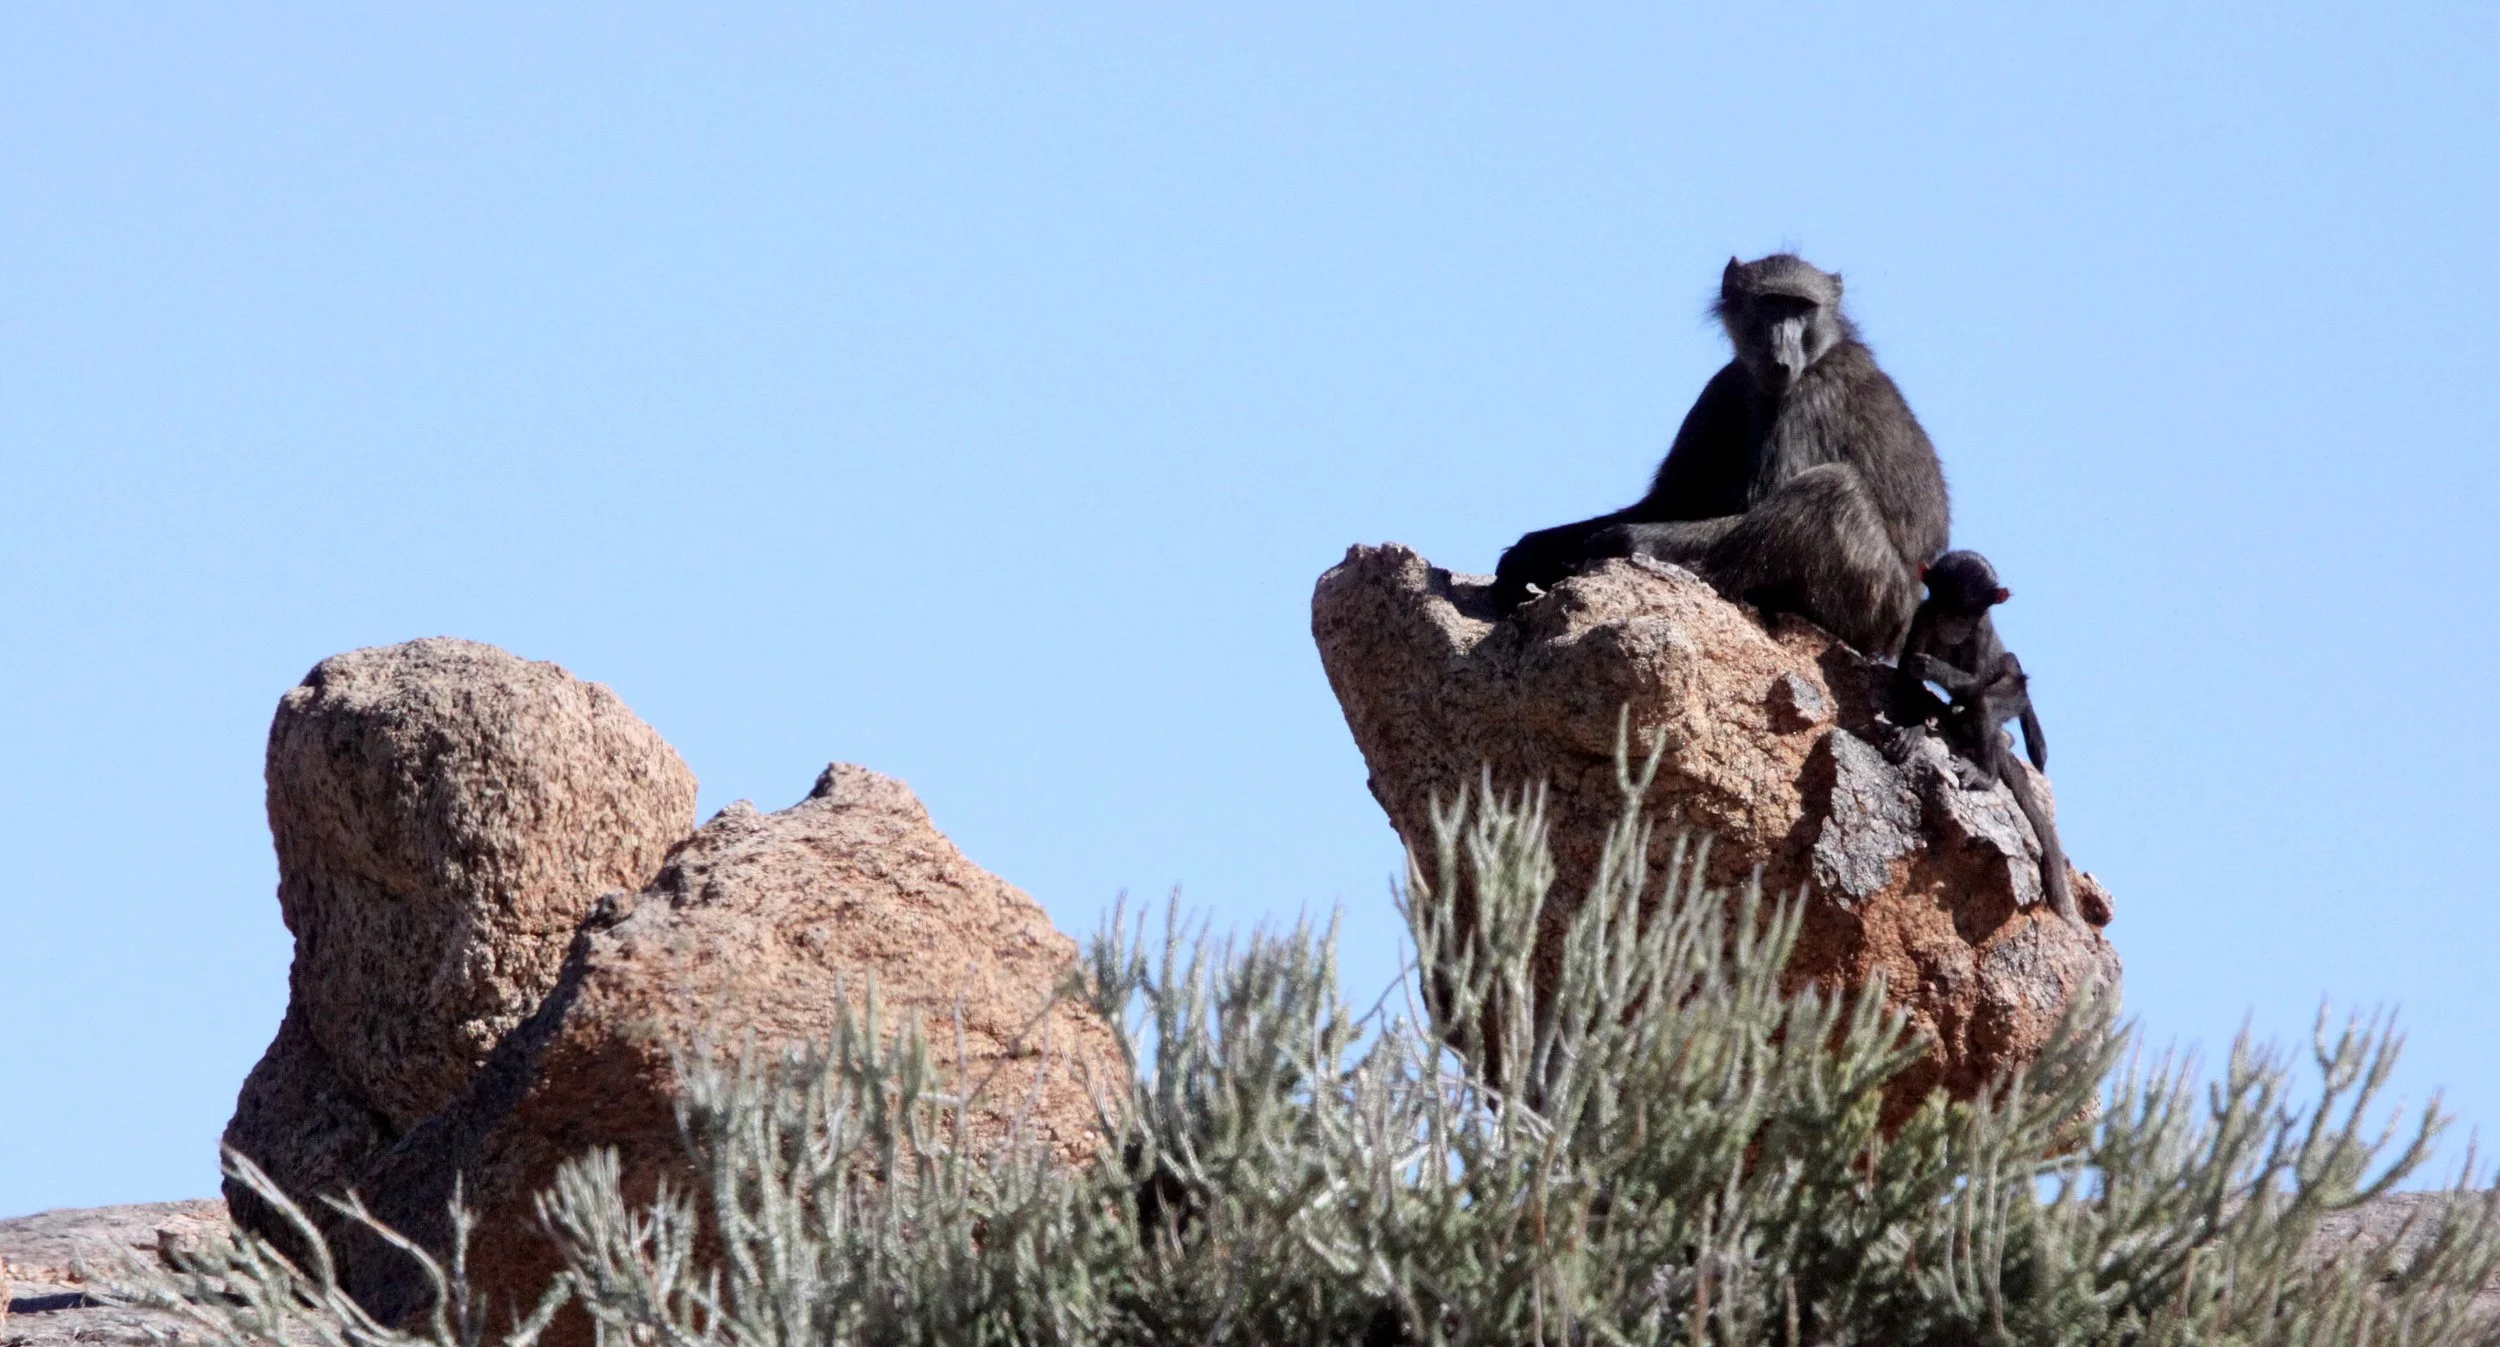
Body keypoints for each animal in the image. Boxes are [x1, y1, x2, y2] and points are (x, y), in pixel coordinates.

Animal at [1489, 254, 1951, 657]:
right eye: (1770, 304)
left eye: (1801, 309)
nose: (1781, 361)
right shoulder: (1725, 384)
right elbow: (1668, 502)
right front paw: (1529, 552)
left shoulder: (1810, 396)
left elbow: (1753, 504)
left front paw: (1622, 539)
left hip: (1877, 600)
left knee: (1832, 488)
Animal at [1893, 550, 2075, 922]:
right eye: (1943, 604)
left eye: (1965, 614)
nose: (1951, 625)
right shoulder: (1925, 614)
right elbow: (1906, 673)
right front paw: (1915, 729)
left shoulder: (1979, 632)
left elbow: (1977, 681)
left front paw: (1935, 670)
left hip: (2015, 691)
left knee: (1990, 700)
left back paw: (1988, 771)